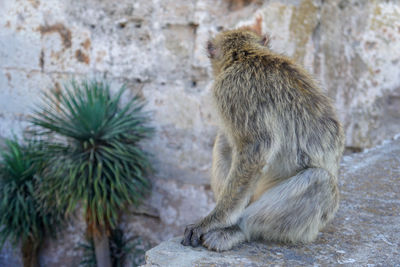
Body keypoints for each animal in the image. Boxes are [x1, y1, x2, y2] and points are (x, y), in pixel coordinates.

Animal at [181, 26, 344, 252]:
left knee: (319, 181)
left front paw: (212, 221)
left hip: (311, 224)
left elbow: (255, 149)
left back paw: (236, 228)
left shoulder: (233, 91)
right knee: (224, 140)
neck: (246, 54)